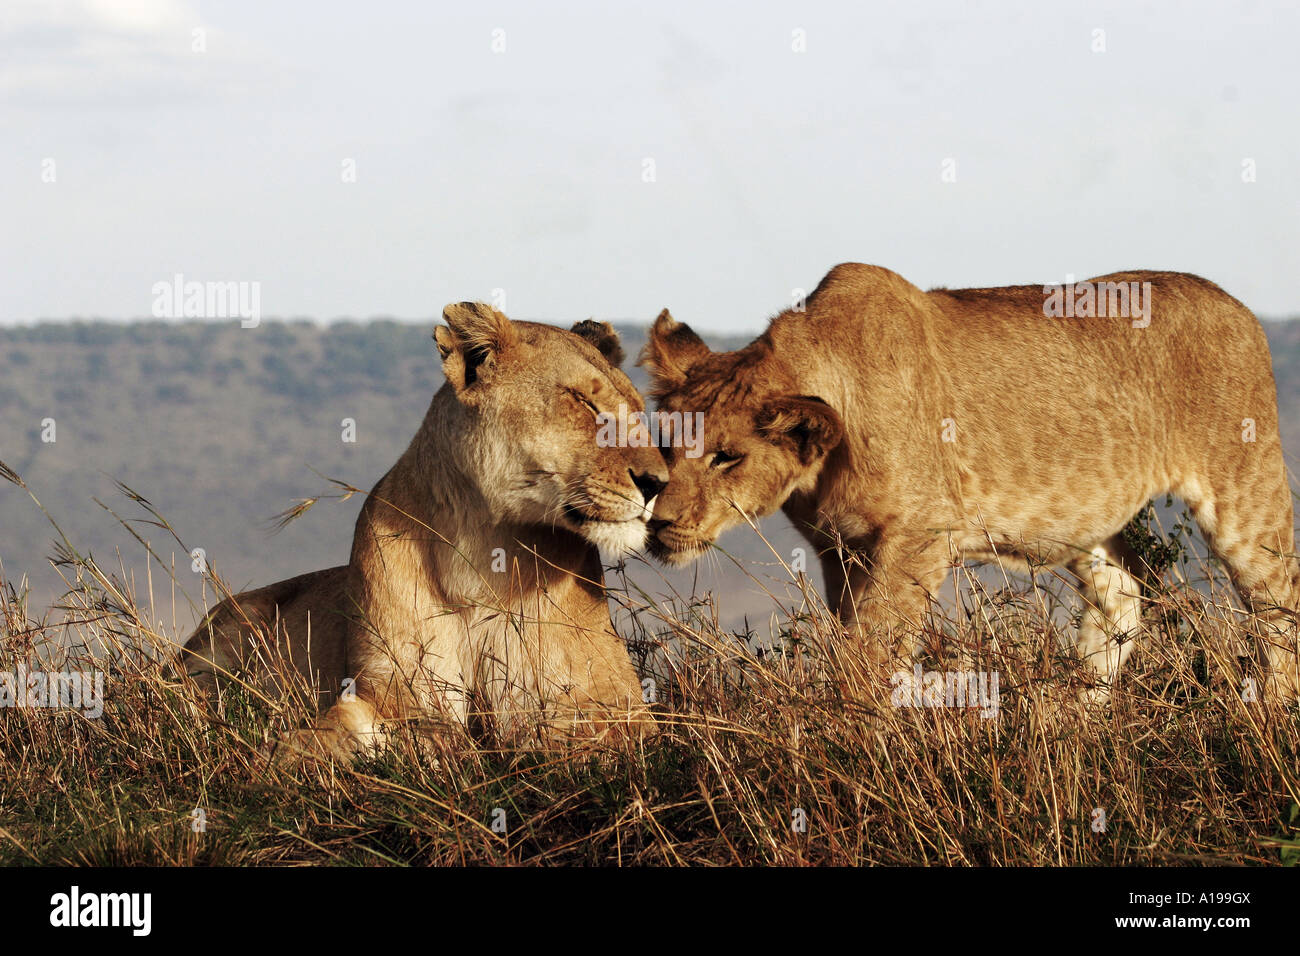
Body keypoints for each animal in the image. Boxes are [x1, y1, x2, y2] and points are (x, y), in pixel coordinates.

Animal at [179, 303, 668, 759]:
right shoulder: (398, 691)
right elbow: (344, 727)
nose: (658, 484)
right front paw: (283, 757)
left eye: (638, 411)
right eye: (582, 401)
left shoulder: (613, 705)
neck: (482, 550)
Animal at [641, 262, 1300, 703]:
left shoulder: (920, 536)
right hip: (1089, 520)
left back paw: (1270, 714)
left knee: (1280, 605)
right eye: (667, 445)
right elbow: (853, 637)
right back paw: (1075, 718)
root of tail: (1237, 304)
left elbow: (874, 649)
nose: (658, 521)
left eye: (727, 458)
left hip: (1245, 491)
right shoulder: (843, 551)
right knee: (1122, 599)